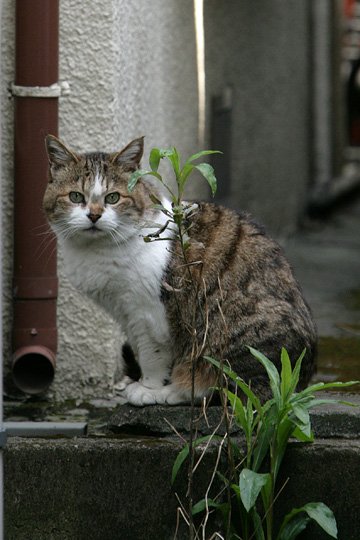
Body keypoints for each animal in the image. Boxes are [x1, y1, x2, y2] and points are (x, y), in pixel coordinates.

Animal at [43, 135, 316, 404]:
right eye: (76, 197)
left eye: (113, 198)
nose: (94, 215)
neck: (97, 250)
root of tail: (301, 379)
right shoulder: (126, 314)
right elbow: (140, 348)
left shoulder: (148, 312)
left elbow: (151, 354)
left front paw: (149, 387)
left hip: (232, 336)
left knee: (231, 390)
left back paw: (171, 391)